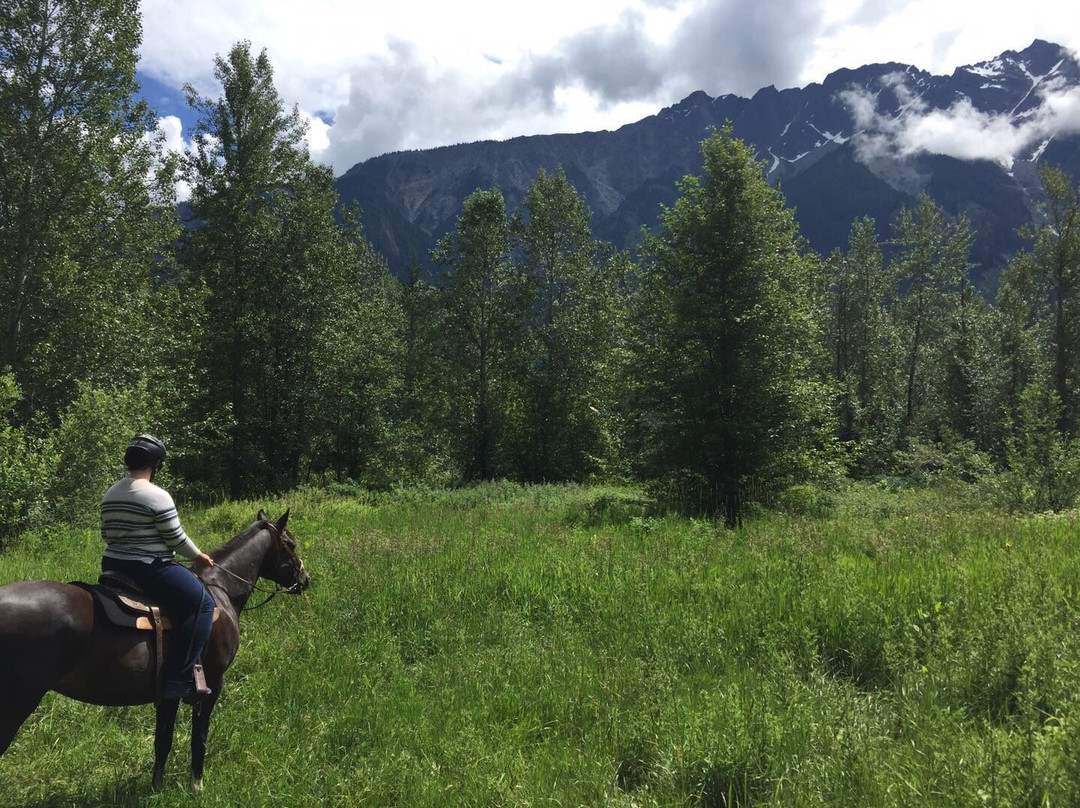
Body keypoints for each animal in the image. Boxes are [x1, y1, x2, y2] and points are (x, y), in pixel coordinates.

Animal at [0, 507, 308, 790]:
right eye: (290, 544)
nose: (305, 579)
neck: (221, 589)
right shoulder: (213, 683)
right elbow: (199, 738)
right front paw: (197, 784)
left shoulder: (168, 691)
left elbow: (163, 739)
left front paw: (156, 787)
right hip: (18, 702)